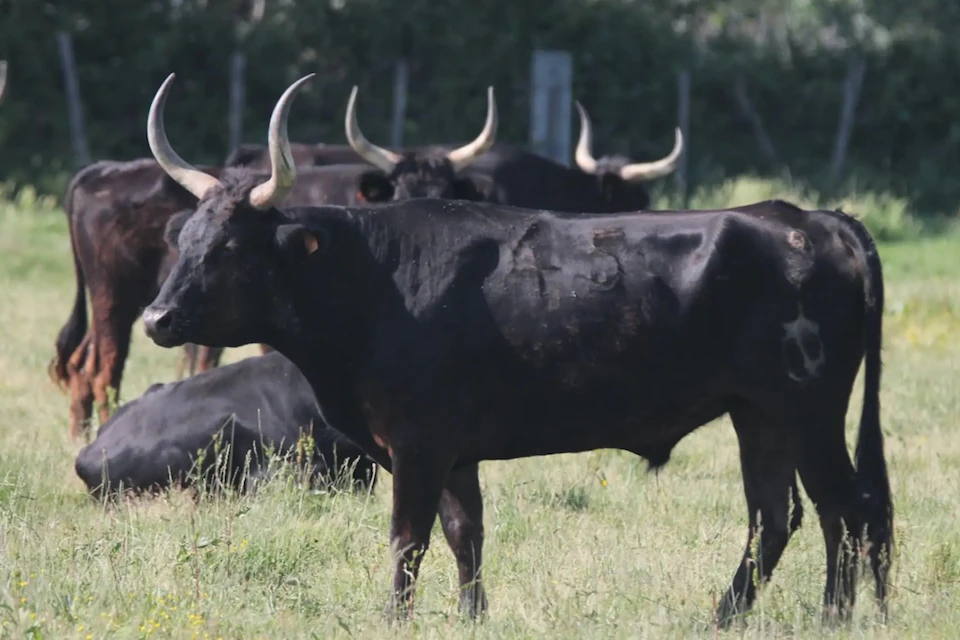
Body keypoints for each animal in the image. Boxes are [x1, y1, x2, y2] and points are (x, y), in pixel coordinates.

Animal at [140, 73, 893, 625]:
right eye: (187, 238)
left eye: (230, 246)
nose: (156, 317)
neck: (376, 278)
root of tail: (813, 219)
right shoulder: (454, 451)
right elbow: (464, 535)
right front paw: (472, 617)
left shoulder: (418, 444)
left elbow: (408, 540)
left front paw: (395, 619)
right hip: (758, 414)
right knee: (775, 517)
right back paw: (721, 618)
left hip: (808, 410)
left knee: (844, 510)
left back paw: (832, 618)